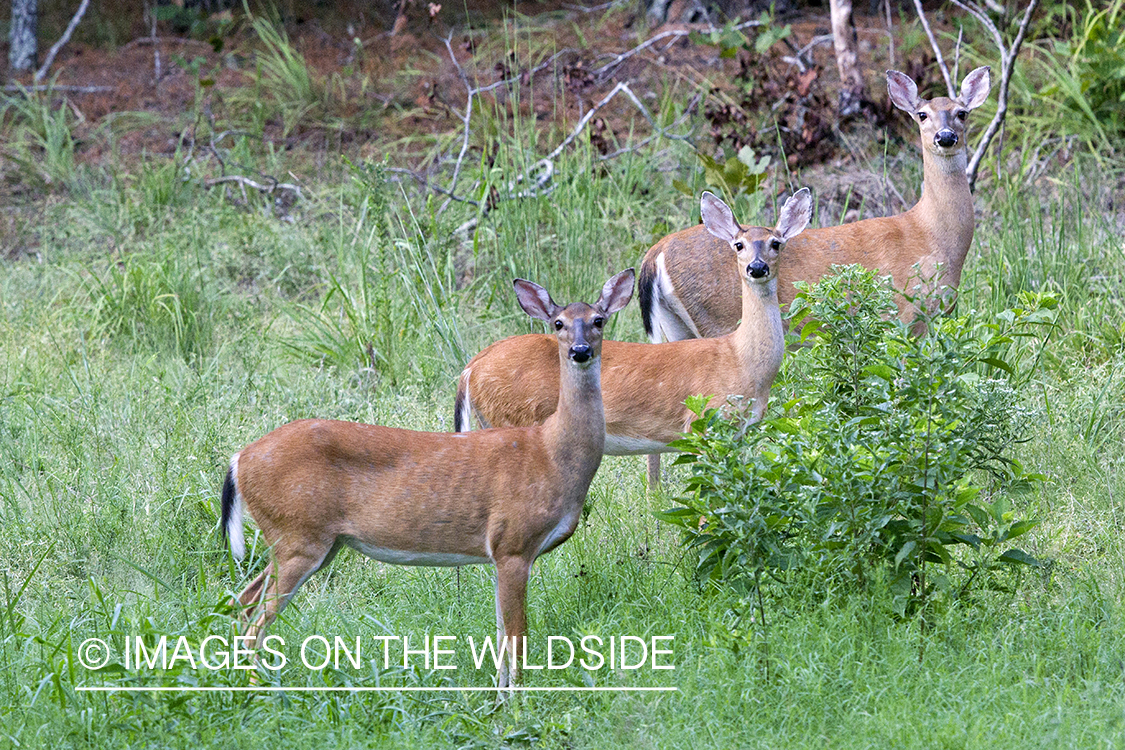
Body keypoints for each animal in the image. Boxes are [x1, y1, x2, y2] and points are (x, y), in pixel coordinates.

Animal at [221, 269, 634, 692]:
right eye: (558, 323)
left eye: (599, 320)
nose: (580, 350)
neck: (551, 454)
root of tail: (240, 459)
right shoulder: (512, 543)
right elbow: (516, 636)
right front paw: (516, 701)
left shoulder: (503, 554)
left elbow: (502, 633)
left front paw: (499, 697)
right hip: (297, 535)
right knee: (254, 619)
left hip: (311, 541)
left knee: (242, 602)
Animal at [452, 188, 814, 488]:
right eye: (738, 244)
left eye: (776, 243)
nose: (757, 267)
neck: (741, 359)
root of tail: (470, 369)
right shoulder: (702, 423)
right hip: (513, 420)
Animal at [639, 66, 990, 344]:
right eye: (922, 114)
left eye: (962, 113)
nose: (945, 137)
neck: (933, 236)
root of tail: (655, 255)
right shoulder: (903, 315)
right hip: (718, 317)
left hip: (673, 326)